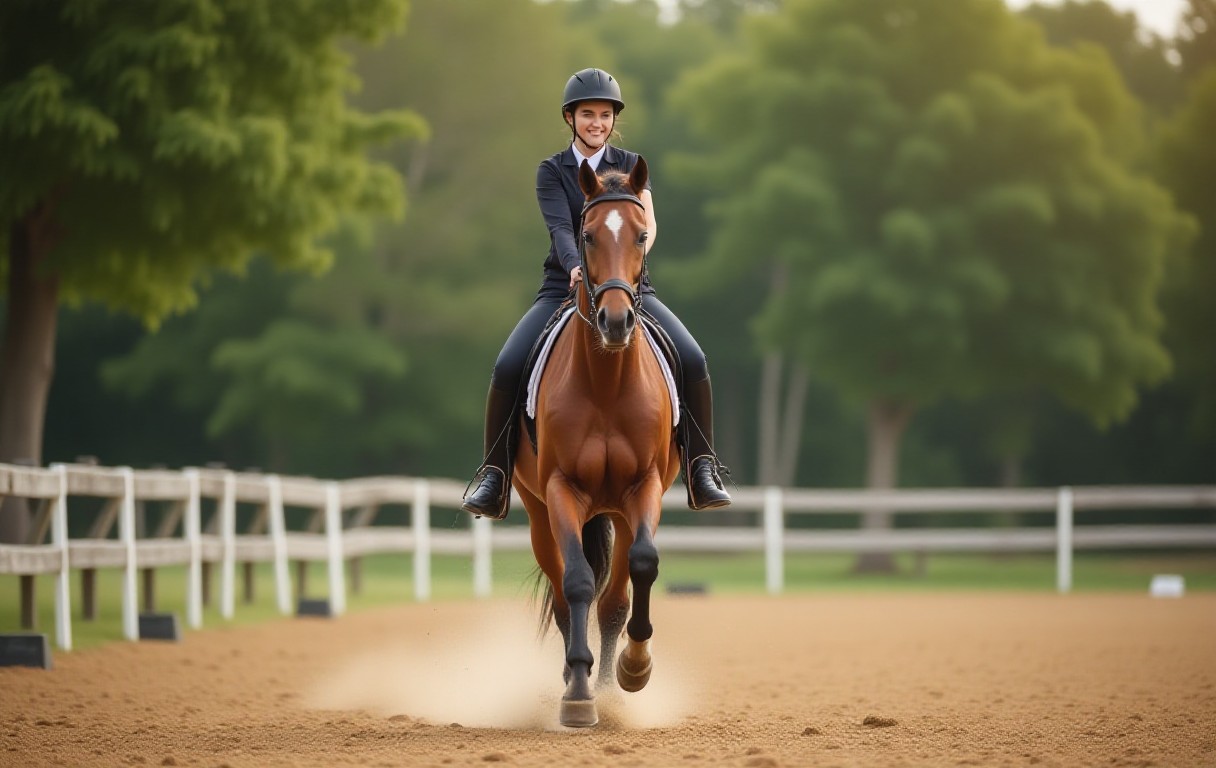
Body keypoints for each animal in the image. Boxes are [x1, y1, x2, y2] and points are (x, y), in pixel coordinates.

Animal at [510, 155, 681, 728]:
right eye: (586, 235)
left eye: (642, 234)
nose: (615, 321)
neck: (606, 383)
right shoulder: (561, 490)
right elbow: (579, 584)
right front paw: (579, 696)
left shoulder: (643, 487)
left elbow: (640, 569)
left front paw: (633, 670)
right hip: (540, 514)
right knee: (568, 599)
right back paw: (576, 678)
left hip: (618, 511)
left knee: (612, 600)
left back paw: (610, 683)